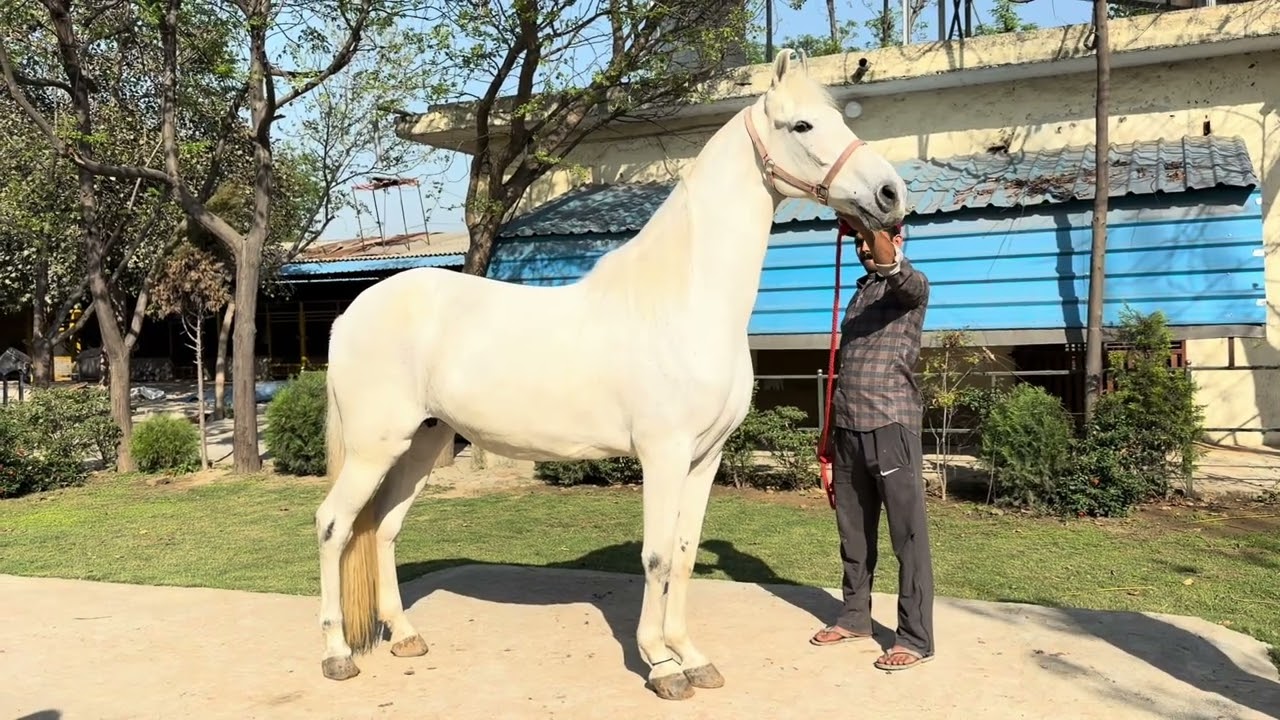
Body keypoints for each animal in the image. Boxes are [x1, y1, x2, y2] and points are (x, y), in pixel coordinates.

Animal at [314, 48, 908, 701]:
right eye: (802, 126)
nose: (890, 193)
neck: (683, 298)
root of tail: (351, 311)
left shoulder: (705, 458)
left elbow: (682, 554)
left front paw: (693, 658)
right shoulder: (663, 454)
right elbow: (655, 557)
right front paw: (662, 666)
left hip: (424, 441)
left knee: (383, 528)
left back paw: (404, 637)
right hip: (375, 446)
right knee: (334, 526)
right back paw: (338, 655)